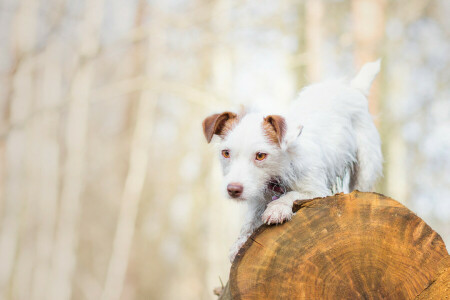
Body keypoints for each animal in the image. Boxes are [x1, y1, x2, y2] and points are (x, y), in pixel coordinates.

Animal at [204, 59, 384, 262]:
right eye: (226, 153)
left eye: (260, 155)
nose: (233, 190)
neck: (280, 170)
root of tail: (353, 89)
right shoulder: (257, 197)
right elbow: (249, 219)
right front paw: (240, 241)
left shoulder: (317, 191)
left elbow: (293, 194)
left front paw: (277, 208)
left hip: (366, 167)